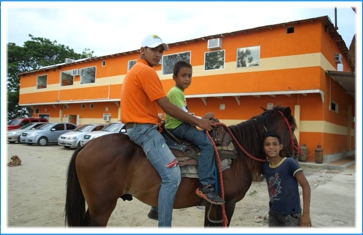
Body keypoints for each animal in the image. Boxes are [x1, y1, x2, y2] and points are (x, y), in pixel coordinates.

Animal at [64, 105, 298, 227]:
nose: (296, 150)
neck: (238, 153)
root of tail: (86, 146)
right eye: (293, 126)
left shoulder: (212, 207)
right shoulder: (228, 203)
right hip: (102, 207)